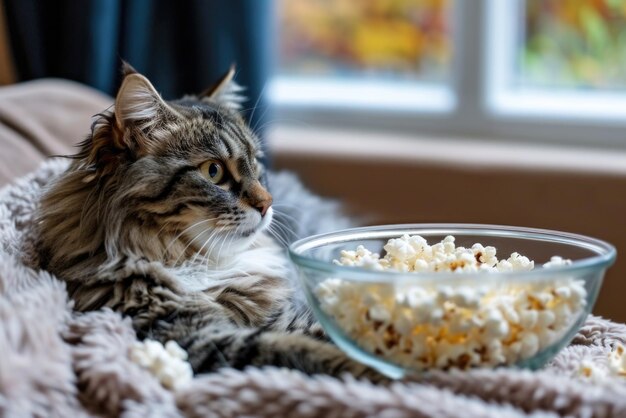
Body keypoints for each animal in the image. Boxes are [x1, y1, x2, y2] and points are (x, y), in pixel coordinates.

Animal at [37, 63, 376, 380]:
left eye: (256, 164)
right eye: (214, 171)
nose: (268, 203)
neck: (196, 260)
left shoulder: (279, 315)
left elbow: (322, 331)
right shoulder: (188, 335)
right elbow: (298, 348)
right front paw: (372, 368)